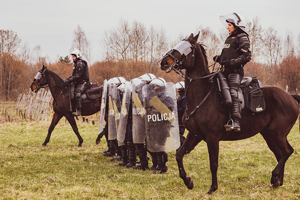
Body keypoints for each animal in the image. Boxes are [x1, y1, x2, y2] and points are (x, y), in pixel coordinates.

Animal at [161, 32, 298, 194]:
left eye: (188, 48)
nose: (164, 62)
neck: (202, 95)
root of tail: (291, 97)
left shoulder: (212, 137)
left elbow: (213, 164)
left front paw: (213, 188)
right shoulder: (194, 135)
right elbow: (179, 154)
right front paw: (188, 181)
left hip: (278, 134)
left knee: (287, 151)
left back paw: (275, 176)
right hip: (269, 134)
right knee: (280, 154)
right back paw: (277, 181)